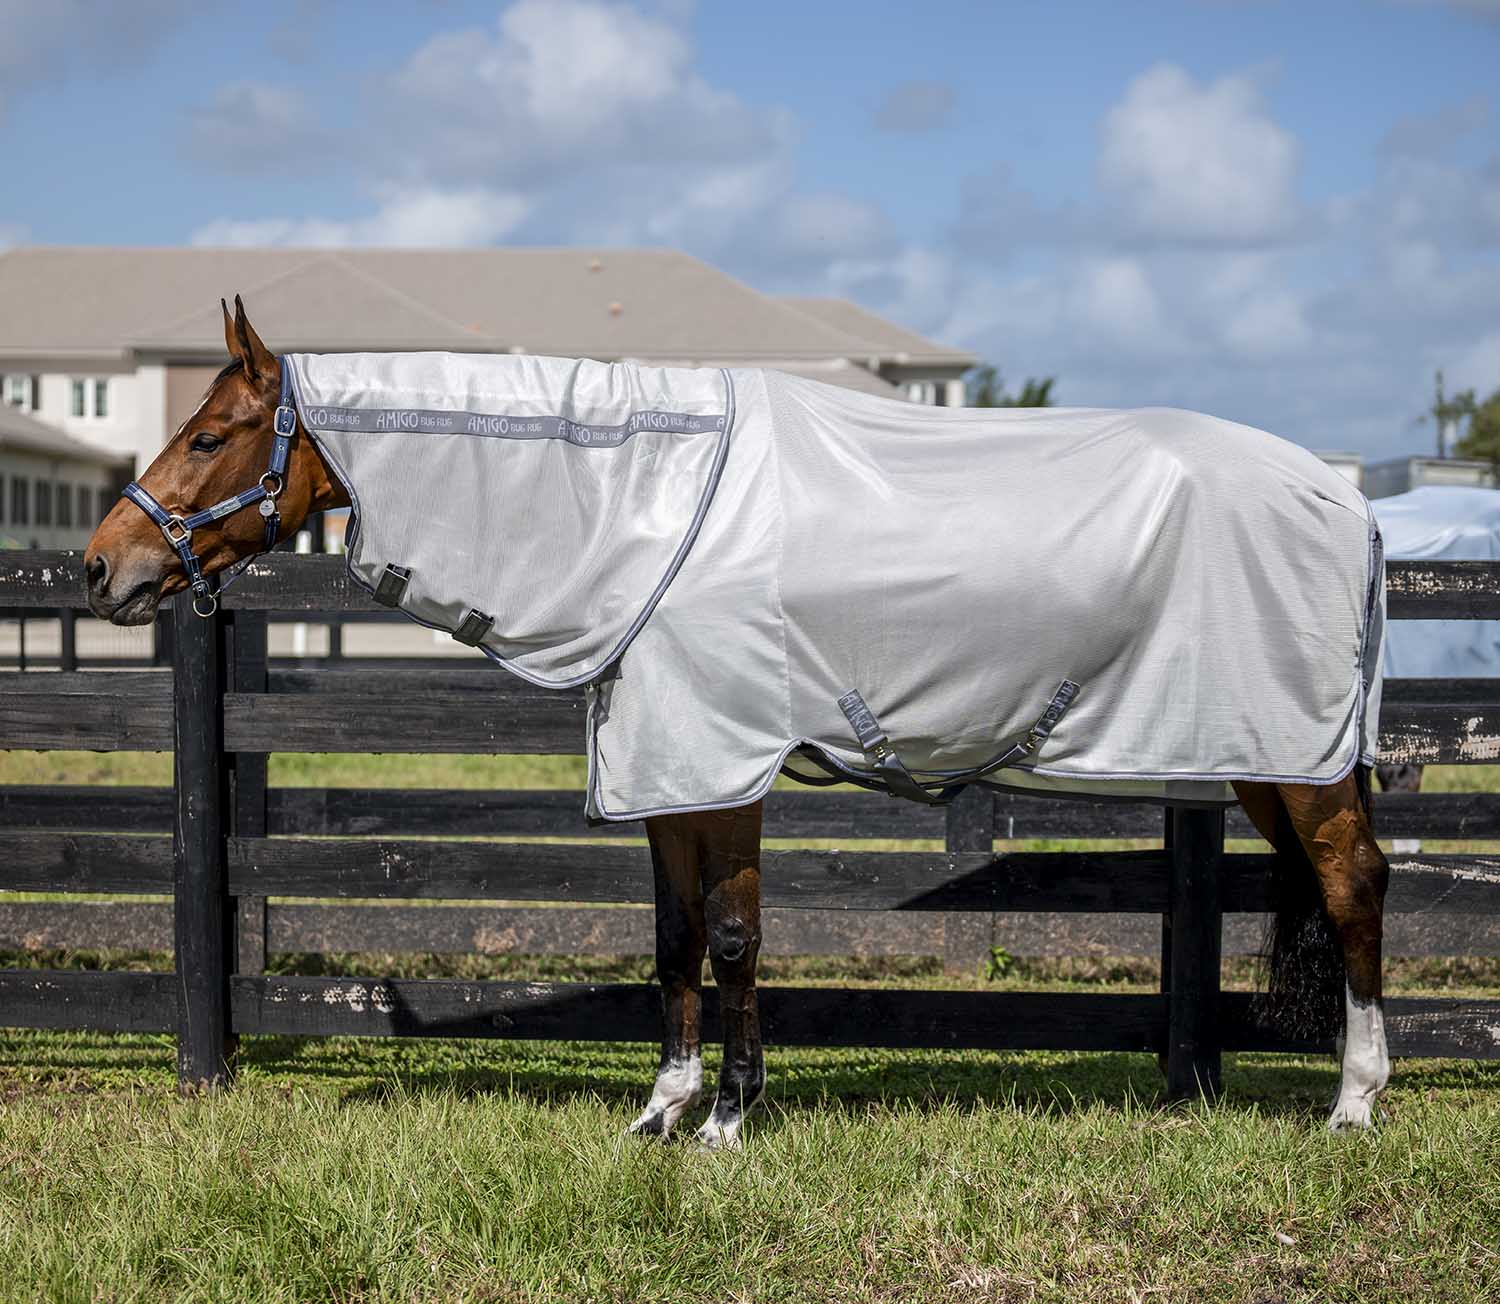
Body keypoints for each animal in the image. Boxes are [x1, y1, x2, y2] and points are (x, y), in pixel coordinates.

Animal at [84, 297, 1394, 1142]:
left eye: (209, 434)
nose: (102, 566)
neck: (644, 502)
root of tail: (1347, 497)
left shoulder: (726, 762)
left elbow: (731, 938)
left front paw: (727, 1116)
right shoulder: (670, 772)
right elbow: (673, 939)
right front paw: (663, 1107)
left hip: (1304, 762)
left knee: (1355, 884)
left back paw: (1354, 1101)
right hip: (1266, 760)